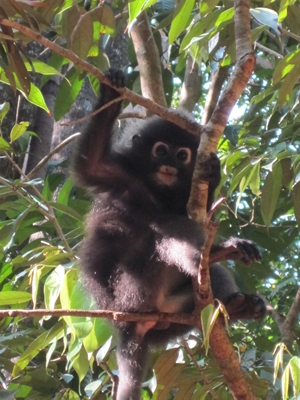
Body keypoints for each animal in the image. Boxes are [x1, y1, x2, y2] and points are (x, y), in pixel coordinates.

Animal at [72, 69, 264, 400]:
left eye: (182, 155)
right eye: (161, 150)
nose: (169, 165)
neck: (157, 192)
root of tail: (128, 325)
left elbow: (194, 214)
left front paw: (214, 174)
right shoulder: (121, 176)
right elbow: (90, 164)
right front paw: (112, 92)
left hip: (175, 314)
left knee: (200, 261)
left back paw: (235, 300)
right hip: (134, 291)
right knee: (164, 231)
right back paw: (210, 255)